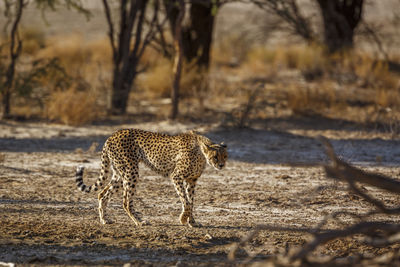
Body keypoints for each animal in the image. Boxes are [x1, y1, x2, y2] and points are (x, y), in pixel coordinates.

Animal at [74, 130, 227, 228]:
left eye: (225, 156)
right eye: (215, 157)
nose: (221, 165)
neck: (201, 152)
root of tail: (113, 135)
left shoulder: (191, 181)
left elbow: (191, 202)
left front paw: (192, 222)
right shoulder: (177, 176)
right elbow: (186, 202)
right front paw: (184, 219)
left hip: (119, 173)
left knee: (102, 194)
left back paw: (105, 220)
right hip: (131, 172)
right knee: (126, 201)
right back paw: (139, 222)